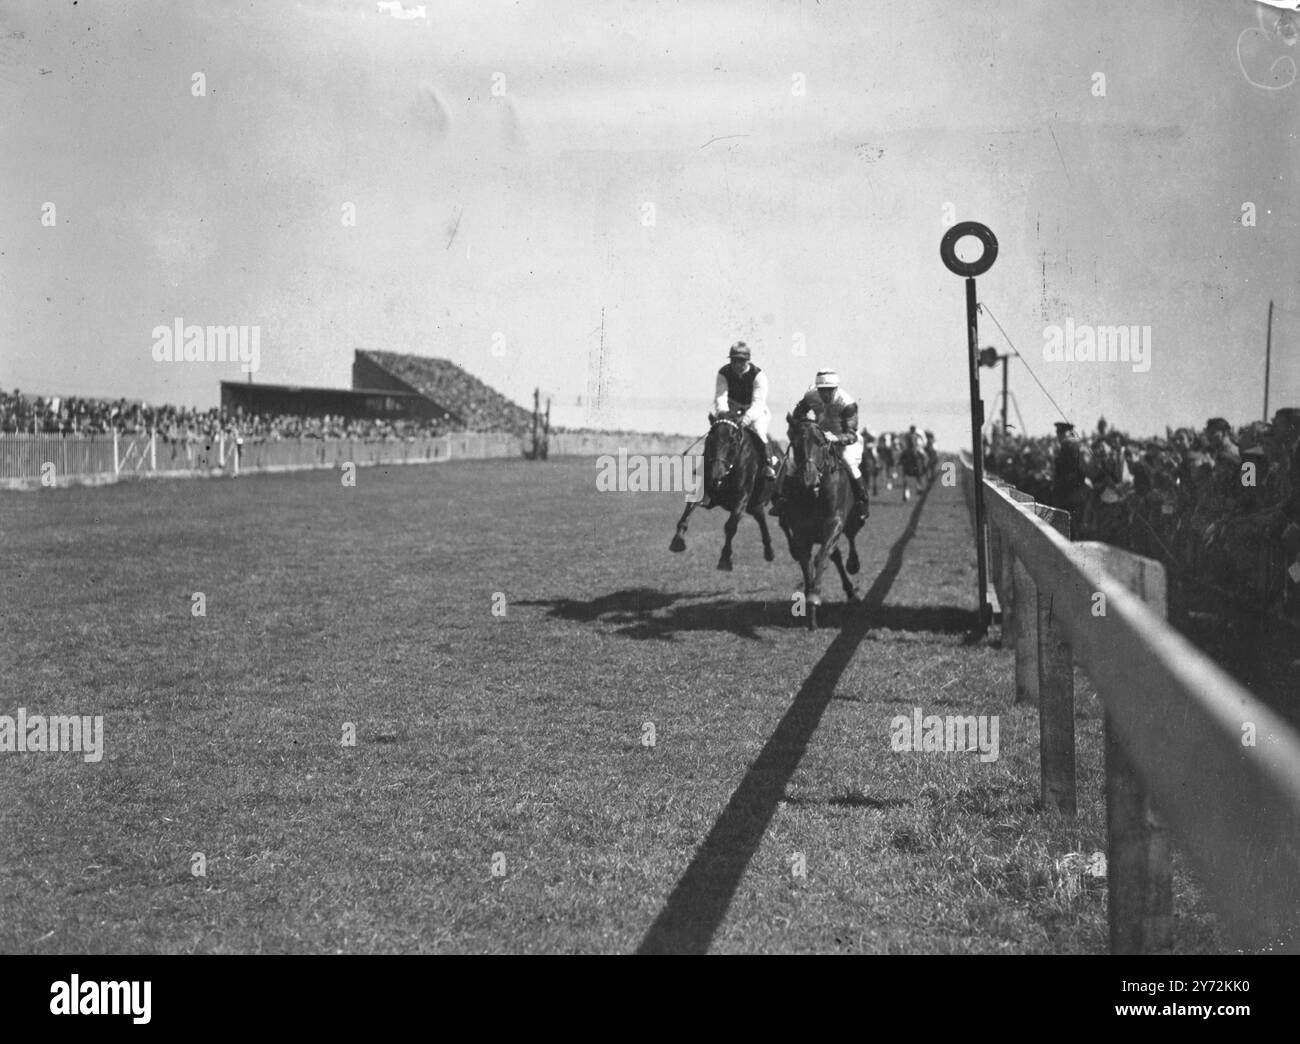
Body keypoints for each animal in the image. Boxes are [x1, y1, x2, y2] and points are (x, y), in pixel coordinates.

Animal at [670, 408, 769, 572]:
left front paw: (725, 559)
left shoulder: (742, 499)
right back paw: (769, 551)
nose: (717, 475)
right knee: (760, 515)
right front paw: (677, 541)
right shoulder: (708, 494)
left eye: (733, 442)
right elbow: (690, 506)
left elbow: (731, 526)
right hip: (753, 504)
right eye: (710, 439)